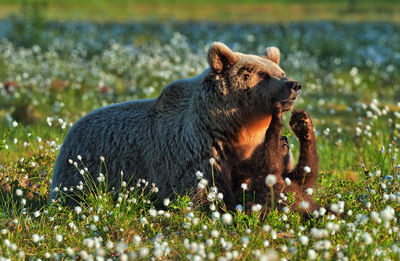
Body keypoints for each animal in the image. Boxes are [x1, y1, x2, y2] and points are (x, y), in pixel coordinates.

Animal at [50, 42, 302, 209]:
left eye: (281, 71)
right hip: (84, 172)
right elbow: (201, 190)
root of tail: (72, 130)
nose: (294, 85)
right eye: (263, 74)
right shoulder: (194, 151)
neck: (233, 128)